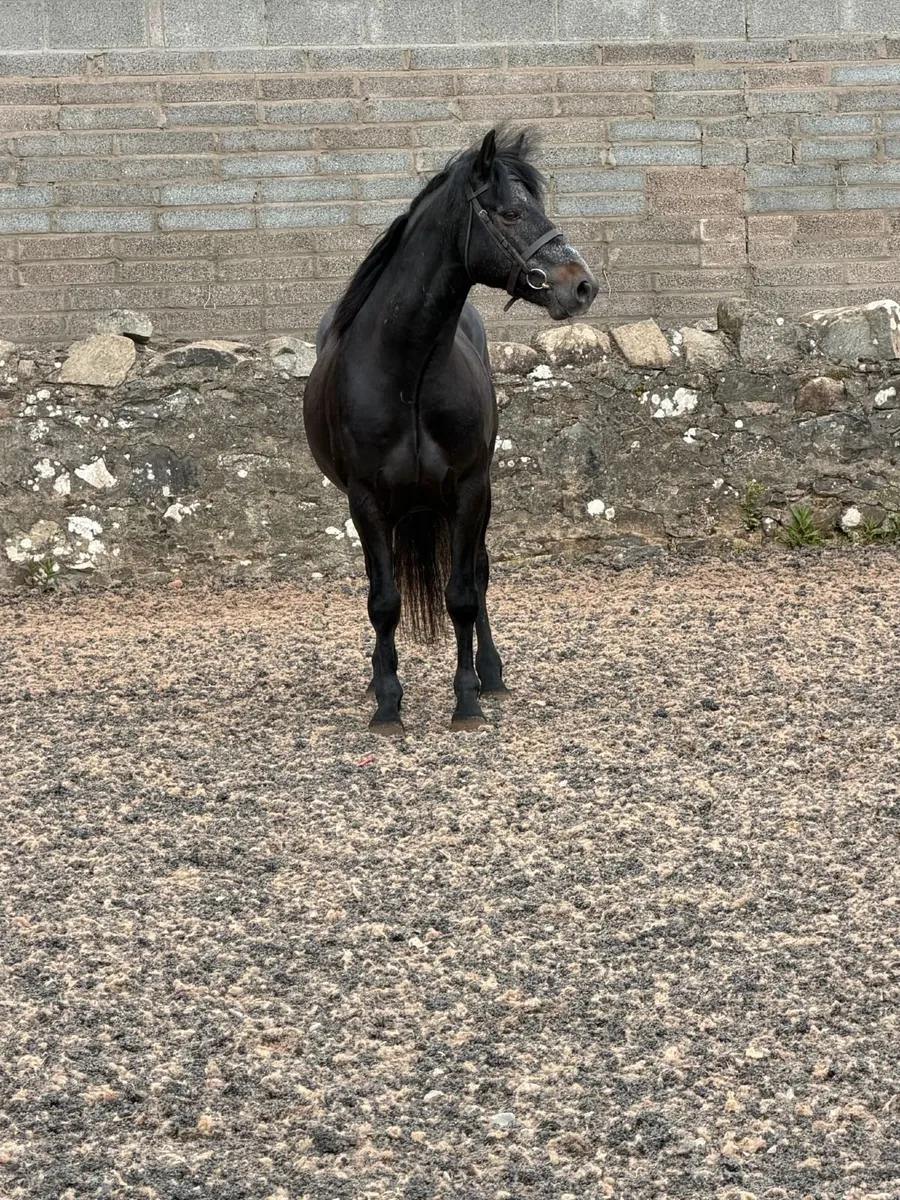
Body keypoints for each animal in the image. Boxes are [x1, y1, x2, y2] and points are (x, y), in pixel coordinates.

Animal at [303, 127, 598, 734]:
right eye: (509, 213)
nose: (582, 286)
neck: (407, 372)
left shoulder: (469, 492)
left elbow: (463, 593)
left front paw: (468, 700)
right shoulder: (366, 503)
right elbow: (383, 602)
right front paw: (387, 704)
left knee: (478, 578)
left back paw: (492, 675)